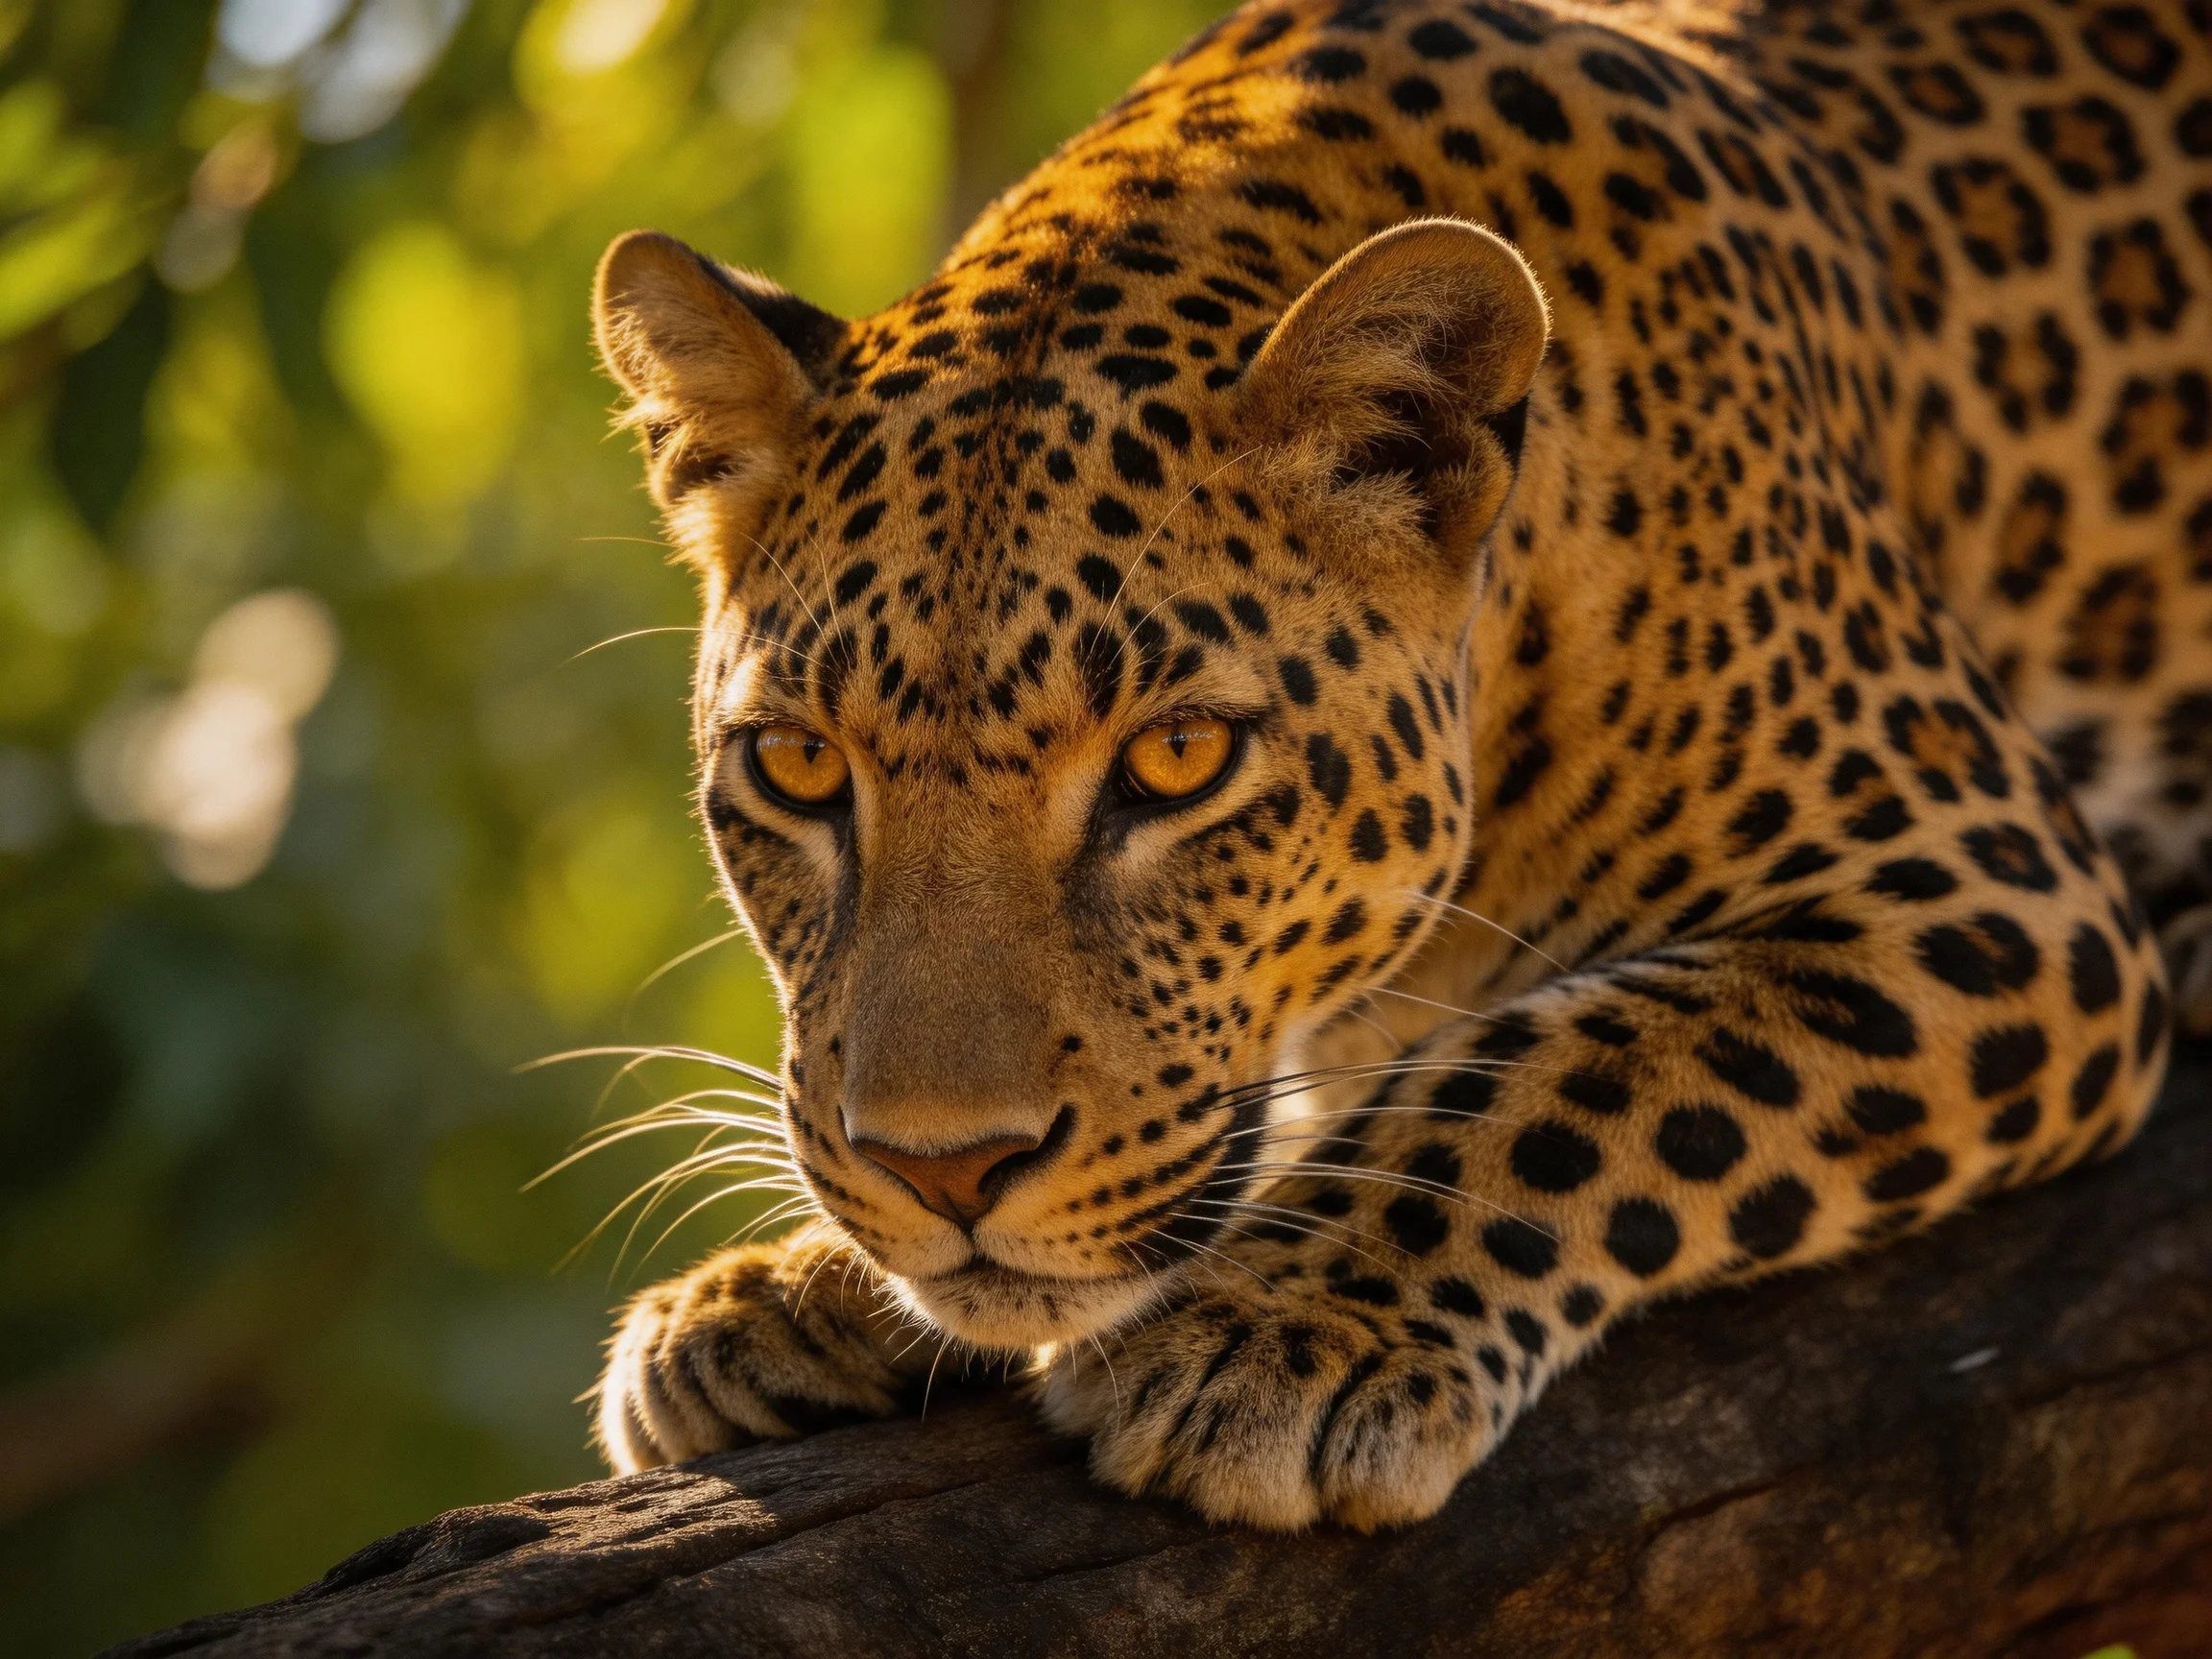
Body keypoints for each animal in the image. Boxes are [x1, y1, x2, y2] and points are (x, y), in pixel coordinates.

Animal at [583, 0, 2208, 1532]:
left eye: (1177, 759)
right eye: (799, 766)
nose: (945, 1172)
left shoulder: (1988, 892)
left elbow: (1563, 1062)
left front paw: (1274, 1329)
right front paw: (794, 1291)